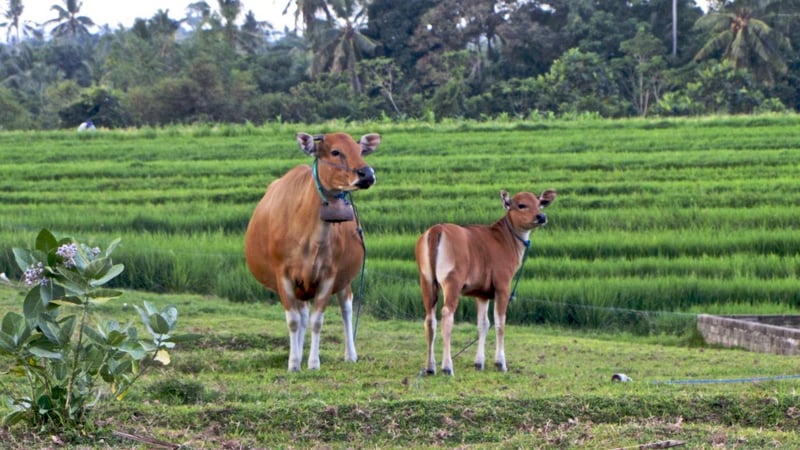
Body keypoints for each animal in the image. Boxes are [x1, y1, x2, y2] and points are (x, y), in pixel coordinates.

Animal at [244, 132, 380, 372]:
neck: (310, 235)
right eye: (335, 152)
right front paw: (293, 363)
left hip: (343, 280)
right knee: (302, 316)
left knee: (346, 309)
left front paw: (314, 363)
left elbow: (317, 321)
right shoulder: (283, 276)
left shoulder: (329, 275)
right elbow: (294, 321)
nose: (367, 174)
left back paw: (350, 354)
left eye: (360, 150)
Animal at [416, 189, 557, 376]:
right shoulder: (503, 286)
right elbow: (500, 322)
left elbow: (483, 325)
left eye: (539, 203)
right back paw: (447, 366)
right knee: (447, 315)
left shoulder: (481, 294)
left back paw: (430, 367)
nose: (541, 216)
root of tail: (437, 229)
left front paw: (479, 363)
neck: (504, 240)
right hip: (452, 281)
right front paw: (500, 363)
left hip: (427, 281)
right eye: (521, 205)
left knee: (430, 320)